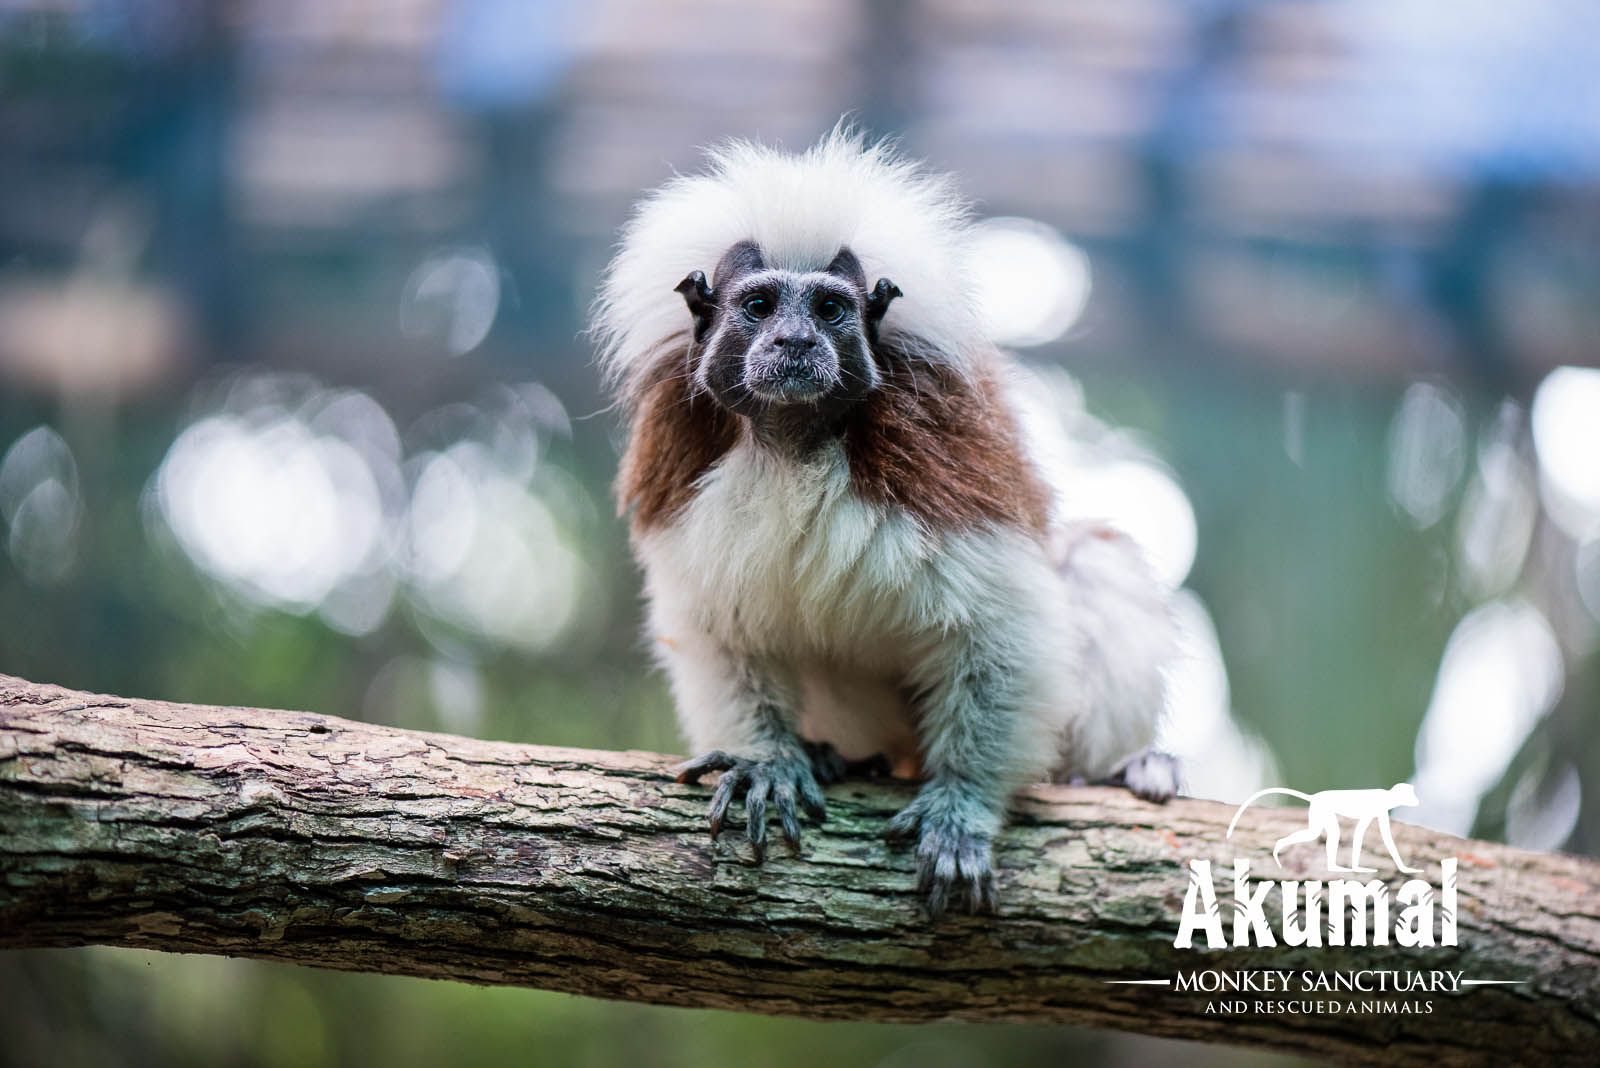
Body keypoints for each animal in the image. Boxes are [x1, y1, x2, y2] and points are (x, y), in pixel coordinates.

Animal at [593, 128, 1180, 917]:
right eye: (759, 306)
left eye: (830, 309)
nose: (794, 342)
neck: (794, 443)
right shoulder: (679, 460)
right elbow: (720, 627)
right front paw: (769, 762)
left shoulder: (943, 462)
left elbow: (1006, 625)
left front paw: (961, 807)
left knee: (1095, 557)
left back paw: (1117, 768)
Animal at [1225, 783, 1422, 874]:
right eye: (1411, 794)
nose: (1417, 800)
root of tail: (1315, 797)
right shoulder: (1378, 807)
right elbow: (1362, 833)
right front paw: (1358, 868)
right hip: (1321, 808)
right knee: (1322, 833)